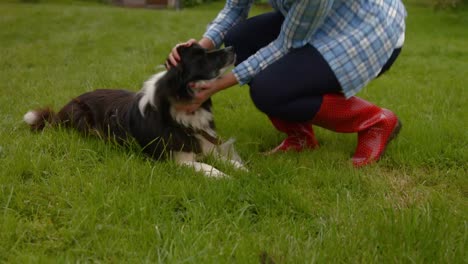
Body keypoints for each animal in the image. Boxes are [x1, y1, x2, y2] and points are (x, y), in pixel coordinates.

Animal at [23, 44, 247, 177]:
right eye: (201, 57)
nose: (232, 48)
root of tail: (61, 111)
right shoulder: (177, 159)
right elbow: (209, 168)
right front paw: (226, 177)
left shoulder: (206, 144)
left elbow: (227, 160)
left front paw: (244, 169)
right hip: (81, 116)